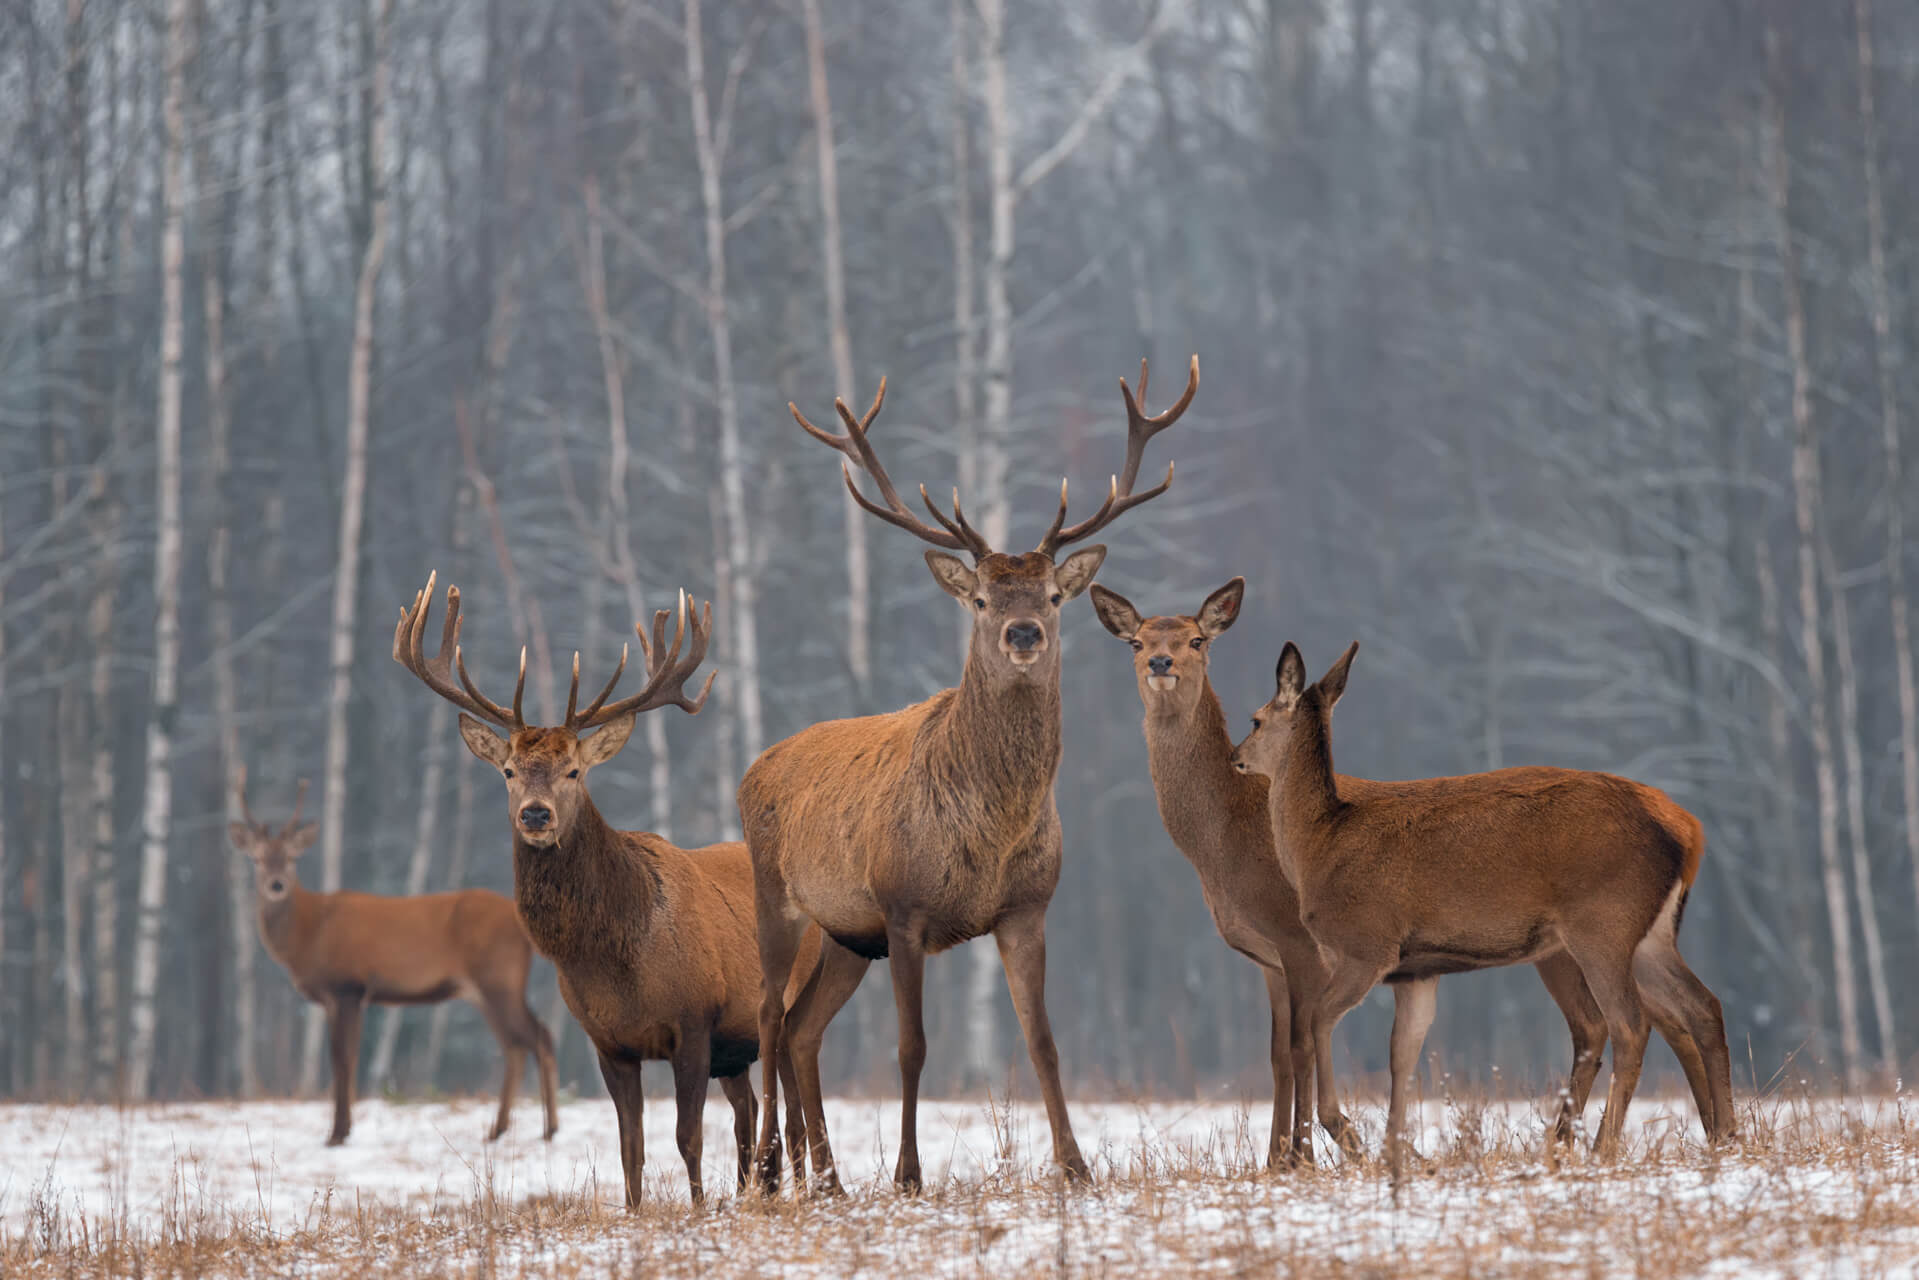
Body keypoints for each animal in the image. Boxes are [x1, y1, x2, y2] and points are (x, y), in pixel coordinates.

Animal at [232, 767, 560, 1143]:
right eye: (256, 859)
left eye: (291, 858)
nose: (276, 885)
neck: (309, 931)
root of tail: (521, 924)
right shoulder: (338, 997)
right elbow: (344, 1058)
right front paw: (343, 1128)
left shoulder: (347, 986)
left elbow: (343, 1059)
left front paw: (338, 1133)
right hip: (482, 989)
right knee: (514, 1046)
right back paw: (499, 1129)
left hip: (499, 977)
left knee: (538, 1036)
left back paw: (549, 1128)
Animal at [393, 575, 821, 1205]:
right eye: (509, 771)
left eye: (574, 770)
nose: (536, 814)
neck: (617, 962)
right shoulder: (607, 1042)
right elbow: (631, 1148)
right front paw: (638, 1212)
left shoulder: (695, 1021)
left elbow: (688, 1137)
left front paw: (697, 1208)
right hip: (736, 1048)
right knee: (747, 1112)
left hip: (786, 1004)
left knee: (789, 1112)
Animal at [740, 353, 1189, 1189]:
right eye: (980, 597)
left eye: (1052, 594)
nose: (1023, 633)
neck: (988, 834)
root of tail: (755, 766)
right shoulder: (903, 906)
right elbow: (911, 1048)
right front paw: (908, 1173)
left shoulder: (1025, 908)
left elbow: (1042, 1041)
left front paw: (1075, 1166)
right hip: (778, 896)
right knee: (766, 1015)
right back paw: (764, 1171)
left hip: (846, 934)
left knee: (801, 1031)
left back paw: (827, 1180)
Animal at [1228, 644, 1742, 1189]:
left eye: (1256, 719)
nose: (1235, 757)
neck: (1317, 847)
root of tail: (1689, 833)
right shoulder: (1417, 970)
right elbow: (1402, 1051)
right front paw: (1395, 1152)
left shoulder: (1366, 945)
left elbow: (1318, 1021)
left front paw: (1344, 1130)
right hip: (1651, 935)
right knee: (1703, 1005)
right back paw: (1728, 1136)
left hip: (1603, 924)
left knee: (1629, 1023)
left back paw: (1604, 1148)